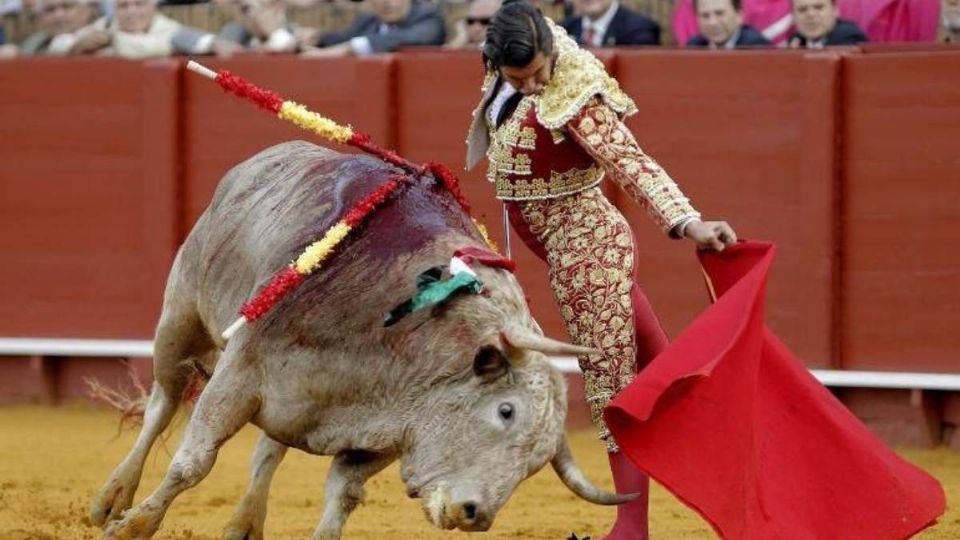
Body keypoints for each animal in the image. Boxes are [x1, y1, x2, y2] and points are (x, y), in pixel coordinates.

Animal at [90, 141, 632, 536]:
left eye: (535, 462)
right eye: (505, 411)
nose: (475, 514)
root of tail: (261, 161)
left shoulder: (387, 432)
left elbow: (342, 495)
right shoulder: (240, 372)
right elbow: (193, 463)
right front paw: (132, 526)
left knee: (267, 452)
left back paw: (244, 524)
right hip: (180, 317)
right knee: (162, 404)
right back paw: (112, 499)